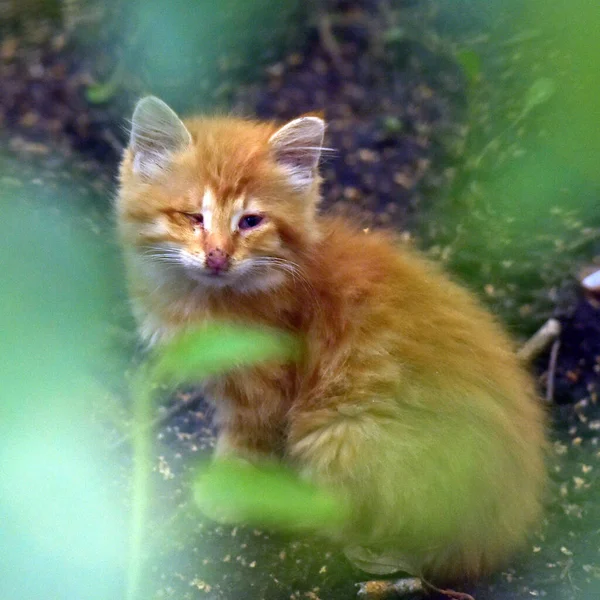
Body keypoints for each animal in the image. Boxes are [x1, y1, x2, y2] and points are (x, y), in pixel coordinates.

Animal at [116, 97, 544, 580]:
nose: (217, 256)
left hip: (340, 435)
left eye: (250, 221)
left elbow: (246, 441)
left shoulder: (261, 387)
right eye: (193, 217)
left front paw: (228, 488)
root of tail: (500, 529)